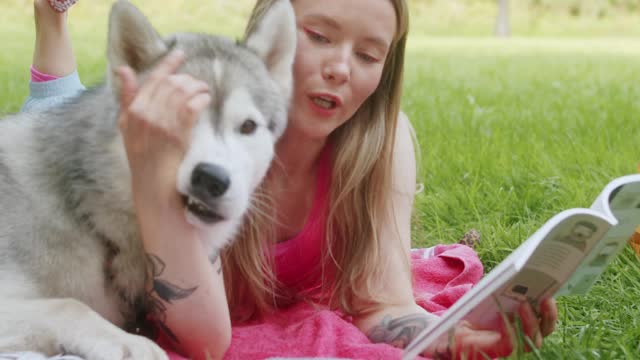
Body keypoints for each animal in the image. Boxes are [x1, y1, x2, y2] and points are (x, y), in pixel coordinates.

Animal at [0, 0, 296, 358]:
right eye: (172, 119)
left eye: (248, 126)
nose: (211, 179)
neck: (86, 209)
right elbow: (68, 305)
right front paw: (127, 342)